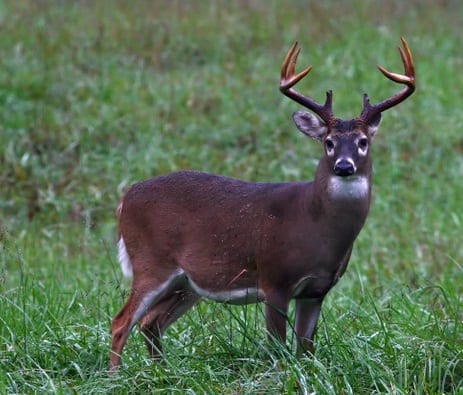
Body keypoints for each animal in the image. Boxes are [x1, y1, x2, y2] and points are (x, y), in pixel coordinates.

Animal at [109, 37, 416, 372]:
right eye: (329, 142)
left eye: (363, 142)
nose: (344, 166)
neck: (314, 224)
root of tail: (125, 198)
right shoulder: (275, 279)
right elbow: (278, 349)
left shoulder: (316, 290)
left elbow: (306, 350)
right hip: (151, 261)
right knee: (121, 321)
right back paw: (116, 376)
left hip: (186, 283)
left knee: (151, 322)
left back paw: (165, 374)